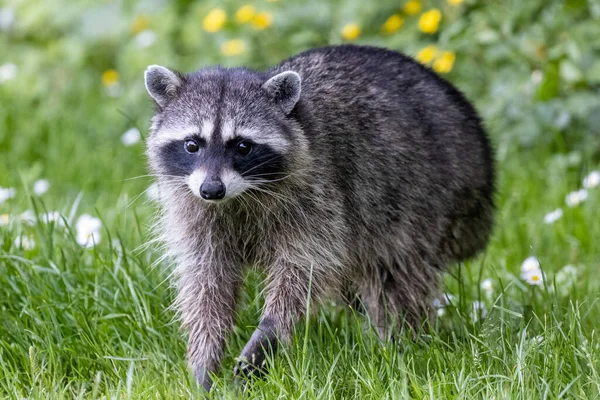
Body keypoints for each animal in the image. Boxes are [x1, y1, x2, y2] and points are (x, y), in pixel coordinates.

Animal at [143, 43, 494, 390]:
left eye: (242, 146)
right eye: (192, 145)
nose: (212, 190)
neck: (239, 196)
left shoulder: (319, 199)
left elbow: (304, 272)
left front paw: (266, 336)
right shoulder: (196, 212)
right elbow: (206, 283)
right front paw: (205, 356)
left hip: (424, 197)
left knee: (396, 274)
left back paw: (404, 342)